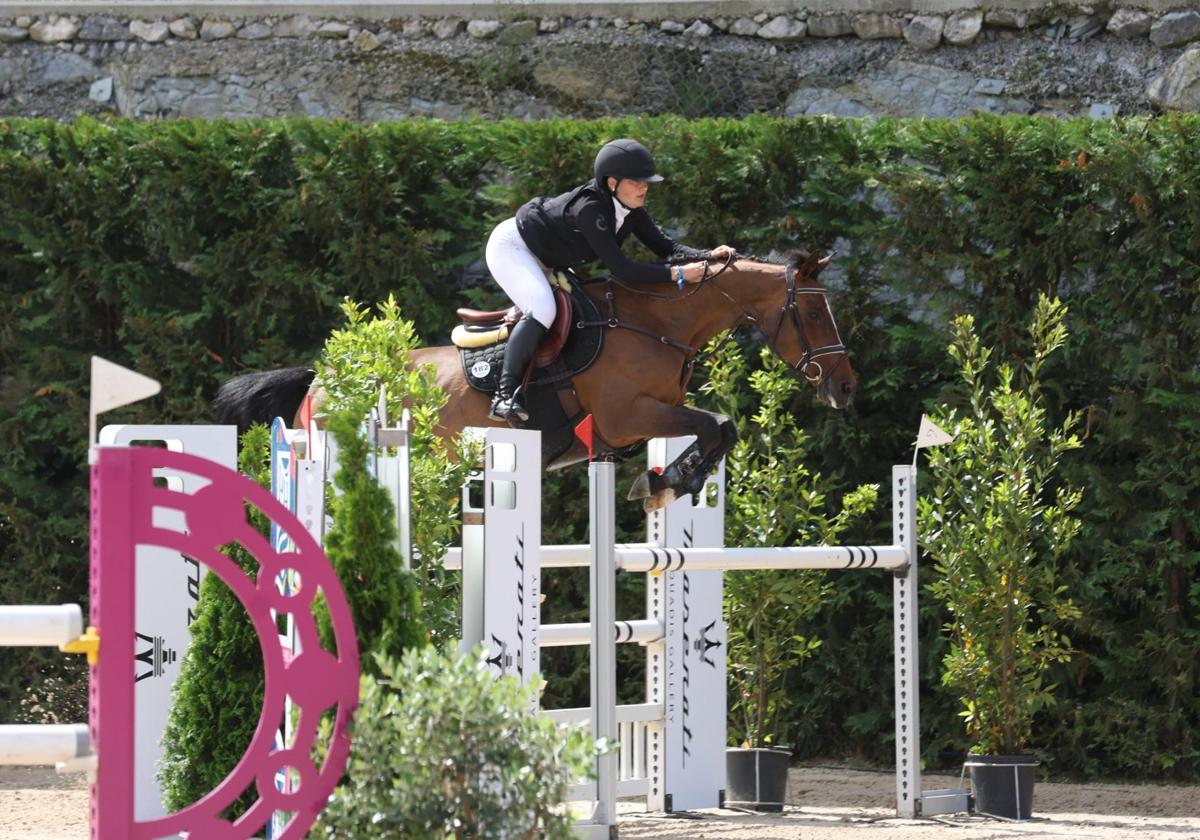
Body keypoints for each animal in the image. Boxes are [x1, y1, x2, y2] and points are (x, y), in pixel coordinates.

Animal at [213, 250, 854, 511]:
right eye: (814, 311)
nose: (845, 387)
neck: (656, 324)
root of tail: (321, 378)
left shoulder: (638, 423)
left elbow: (720, 429)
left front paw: (667, 481)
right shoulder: (629, 415)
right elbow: (716, 423)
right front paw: (668, 481)